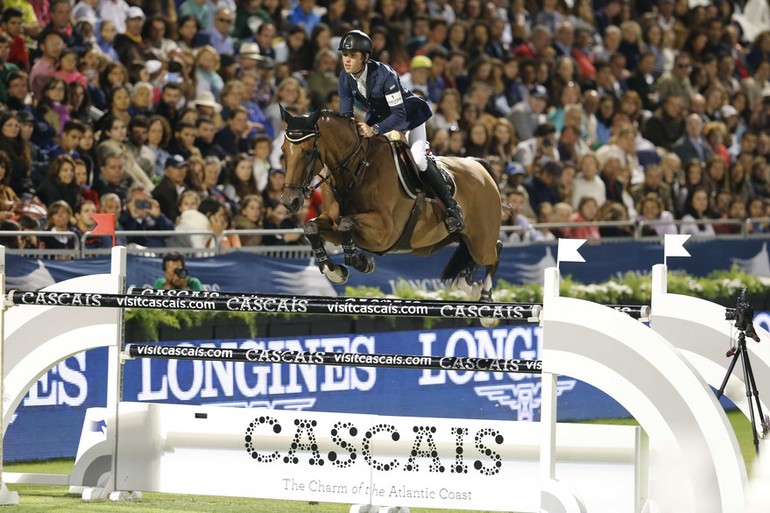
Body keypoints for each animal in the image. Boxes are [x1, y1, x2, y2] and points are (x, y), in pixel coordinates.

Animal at [280, 106, 500, 302]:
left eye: (309, 151)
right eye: (283, 151)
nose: (289, 201)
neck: (356, 168)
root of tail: (480, 166)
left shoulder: (384, 232)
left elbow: (347, 224)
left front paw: (362, 262)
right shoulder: (331, 223)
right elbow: (312, 227)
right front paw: (335, 271)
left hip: (480, 240)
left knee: (493, 254)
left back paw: (485, 300)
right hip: (448, 240)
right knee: (475, 252)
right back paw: (469, 286)